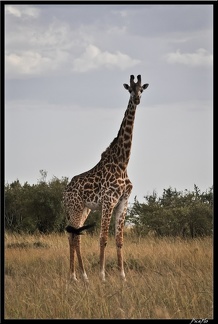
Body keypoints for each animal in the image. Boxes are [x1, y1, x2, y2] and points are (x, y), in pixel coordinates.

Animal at [63, 74, 148, 280]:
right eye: (130, 89)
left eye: (142, 89)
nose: (137, 99)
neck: (123, 162)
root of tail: (64, 193)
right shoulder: (109, 200)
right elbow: (103, 238)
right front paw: (102, 275)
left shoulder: (123, 201)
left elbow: (119, 240)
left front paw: (122, 276)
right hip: (75, 208)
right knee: (73, 235)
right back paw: (77, 276)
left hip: (84, 209)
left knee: (74, 235)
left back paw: (80, 276)